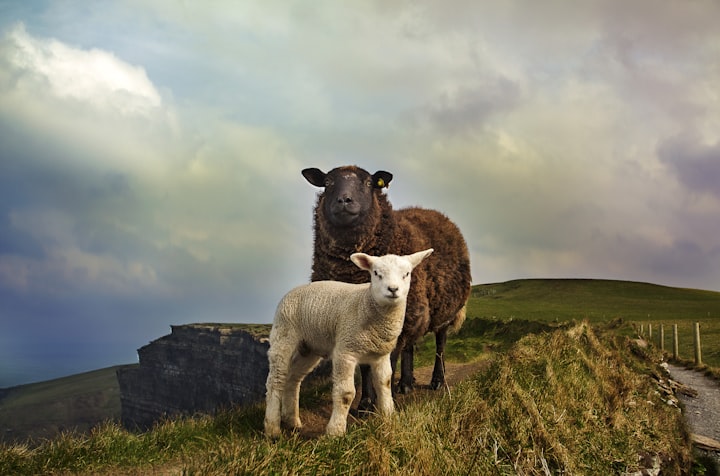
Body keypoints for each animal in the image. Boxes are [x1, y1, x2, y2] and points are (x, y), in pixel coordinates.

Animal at [264, 247, 434, 436]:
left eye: (407, 274)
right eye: (376, 273)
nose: (393, 289)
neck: (366, 303)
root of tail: (293, 290)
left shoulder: (380, 355)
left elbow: (385, 384)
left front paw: (389, 418)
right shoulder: (345, 351)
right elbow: (346, 393)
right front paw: (336, 431)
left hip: (309, 347)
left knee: (293, 378)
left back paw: (292, 421)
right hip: (284, 335)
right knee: (276, 380)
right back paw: (272, 429)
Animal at [300, 165, 472, 408]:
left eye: (368, 183)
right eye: (327, 182)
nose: (344, 200)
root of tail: (435, 213)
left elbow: (386, 364)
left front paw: (380, 403)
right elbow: (366, 366)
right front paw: (365, 404)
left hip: (443, 311)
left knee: (440, 344)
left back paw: (437, 380)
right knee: (410, 346)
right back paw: (406, 384)